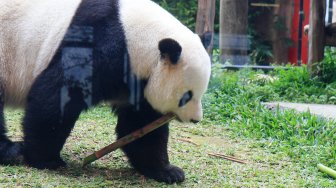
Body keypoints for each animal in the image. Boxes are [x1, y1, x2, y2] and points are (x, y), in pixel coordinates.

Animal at [0, 0, 210, 184]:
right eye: (187, 96)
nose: (195, 119)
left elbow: (140, 125)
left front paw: (167, 171)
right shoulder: (100, 40)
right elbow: (55, 95)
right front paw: (45, 158)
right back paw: (12, 151)